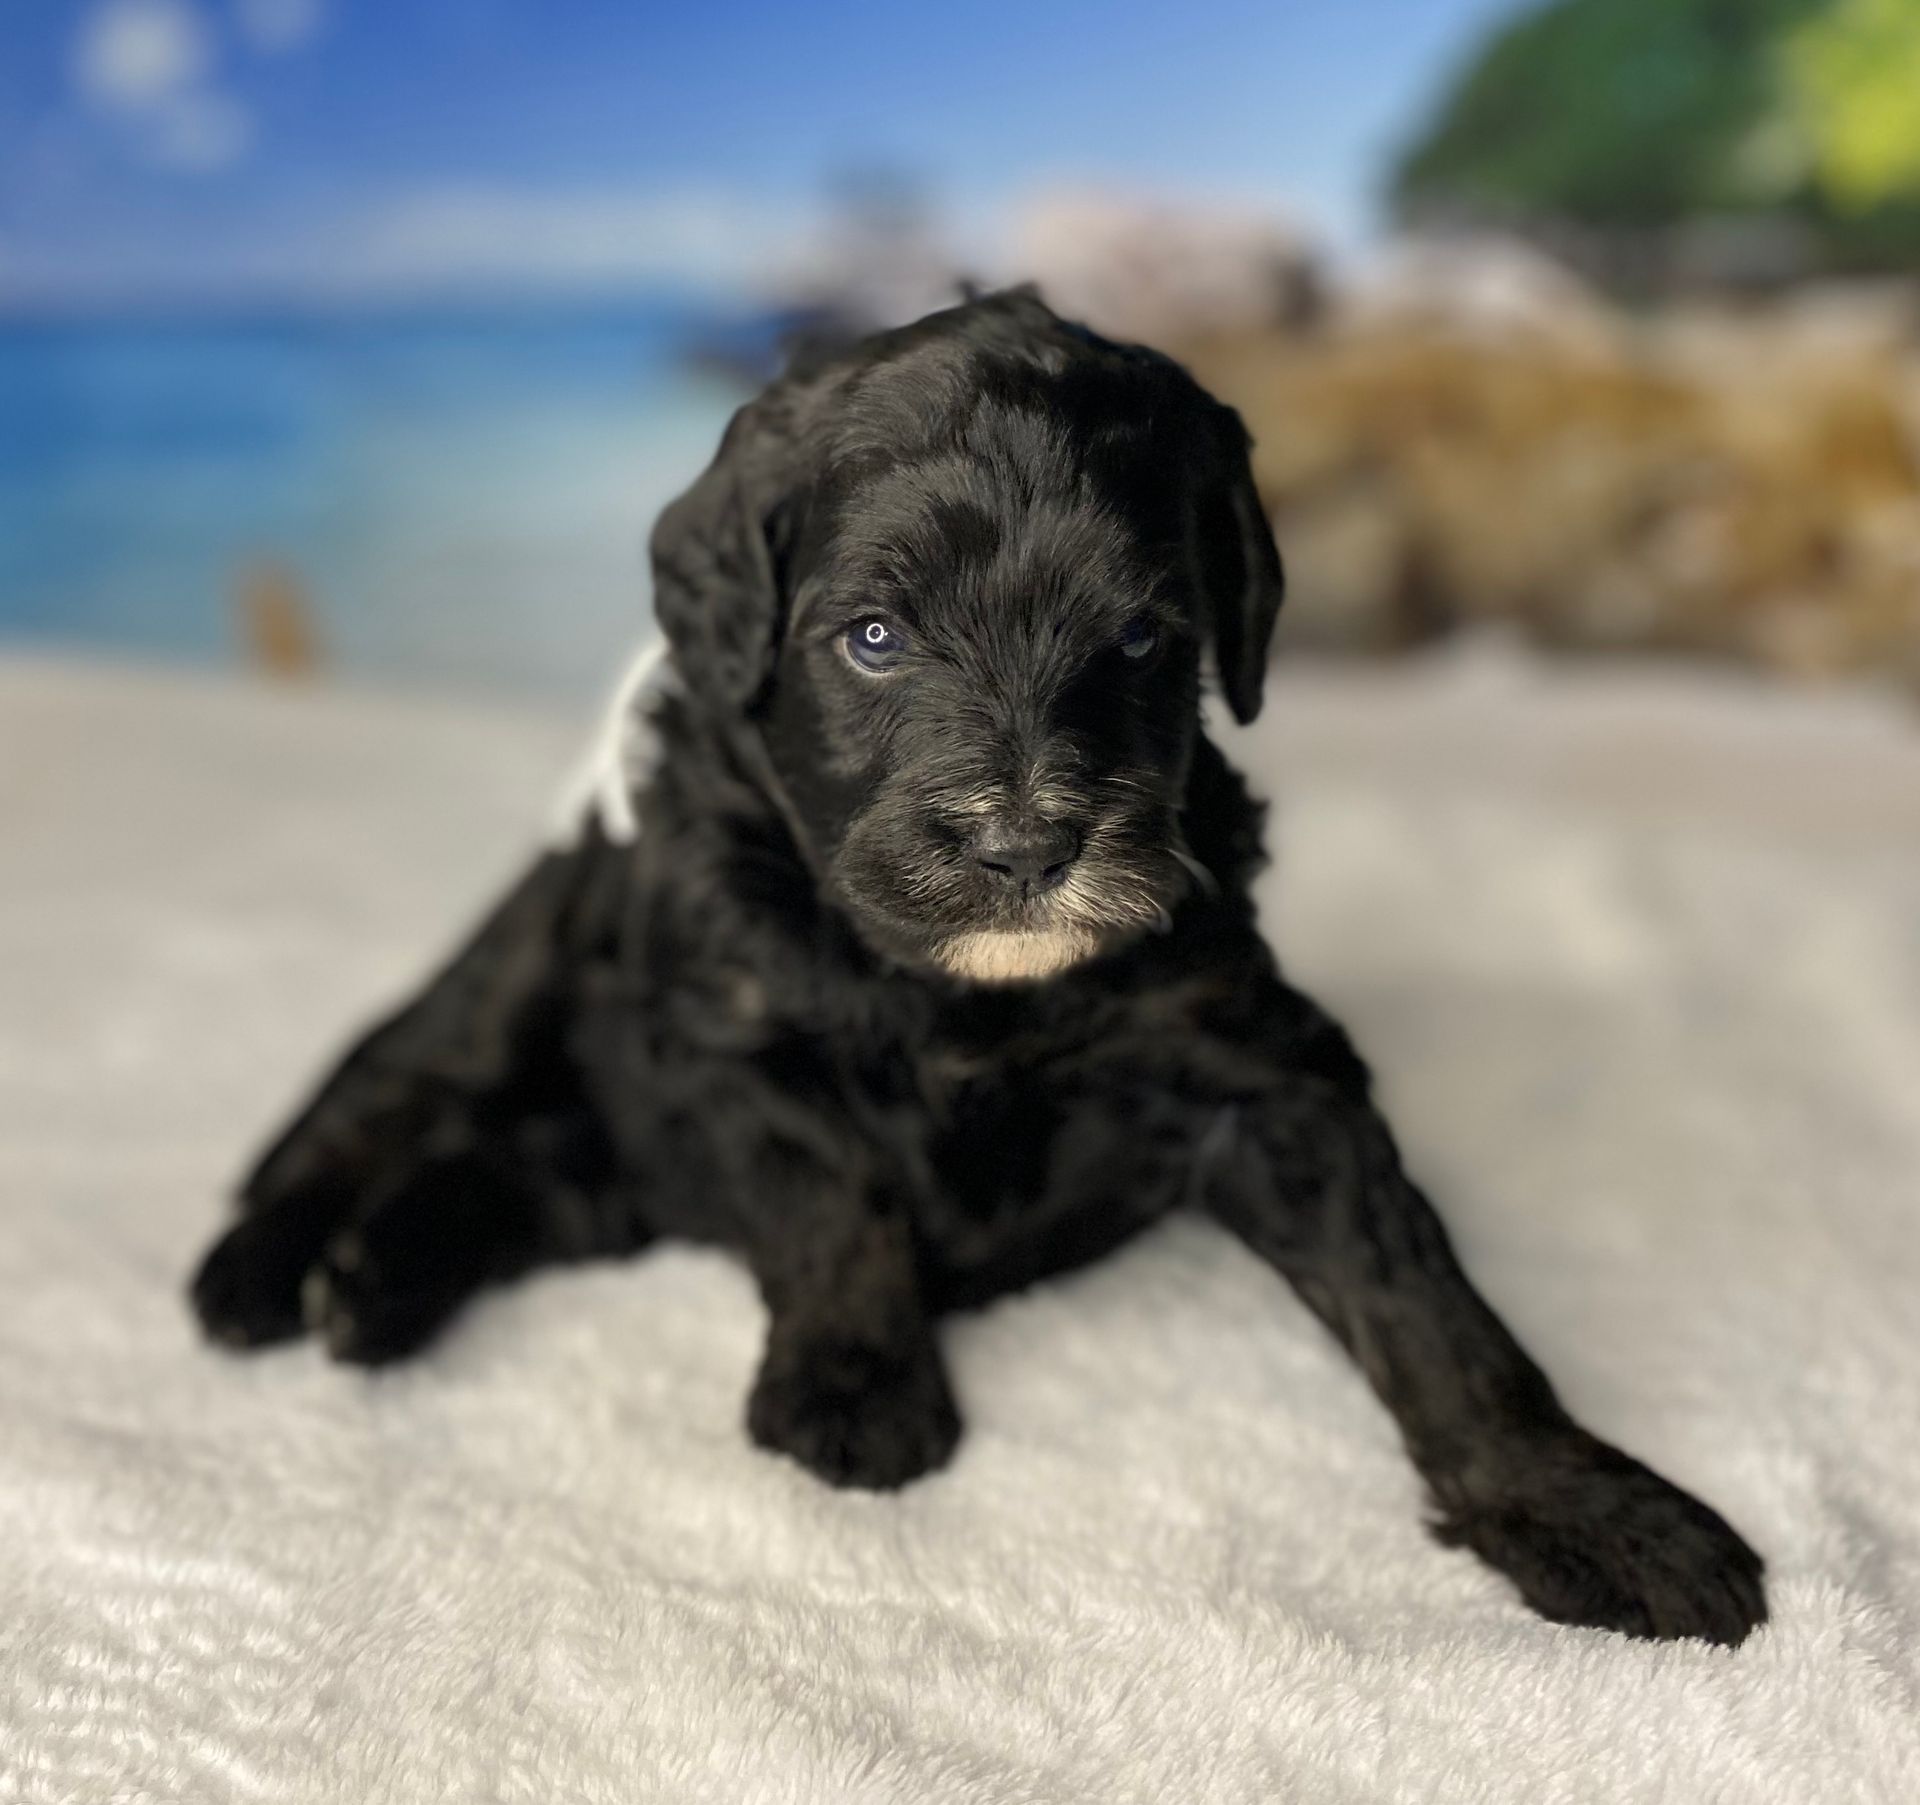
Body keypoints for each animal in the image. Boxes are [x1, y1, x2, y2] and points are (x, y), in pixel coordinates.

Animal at [194, 289, 1766, 1643]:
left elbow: (1426, 1302)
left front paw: (1591, 1507)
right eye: (874, 639)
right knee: (390, 1092)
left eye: (1140, 636)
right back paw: (262, 1273)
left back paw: (376, 1284)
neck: (960, 986)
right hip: (527, 963)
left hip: (601, 1175)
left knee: (503, 1172)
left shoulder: (1260, 1065)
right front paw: (855, 1387)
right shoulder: (728, 1026)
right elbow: (829, 1189)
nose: (1024, 844)